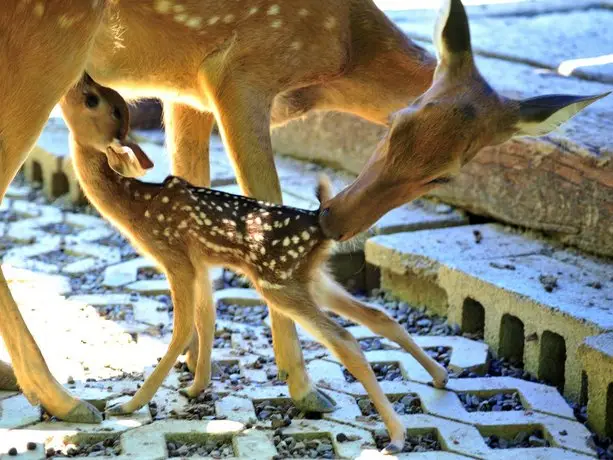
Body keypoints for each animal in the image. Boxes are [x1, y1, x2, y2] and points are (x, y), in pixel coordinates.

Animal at [0, 0, 604, 424]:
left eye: (446, 175)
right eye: (396, 122)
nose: (336, 221)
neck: (340, 54)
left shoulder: (187, 91)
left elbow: (198, 206)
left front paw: (196, 377)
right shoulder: (238, 72)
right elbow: (258, 195)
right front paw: (304, 387)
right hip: (47, 45)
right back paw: (64, 400)